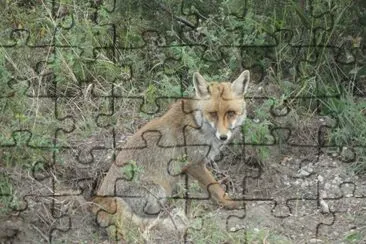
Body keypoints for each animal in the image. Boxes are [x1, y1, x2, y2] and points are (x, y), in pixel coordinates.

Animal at [93, 70, 250, 240]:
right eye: (213, 114)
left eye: (231, 113)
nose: (223, 137)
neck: (197, 123)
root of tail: (98, 200)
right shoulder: (194, 164)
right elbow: (215, 187)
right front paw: (230, 203)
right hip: (158, 192)